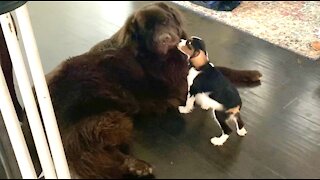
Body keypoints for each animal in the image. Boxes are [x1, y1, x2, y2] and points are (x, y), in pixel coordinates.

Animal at [22, 1, 262, 179]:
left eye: (165, 21)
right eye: (147, 30)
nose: (165, 39)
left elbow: (217, 67)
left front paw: (250, 73)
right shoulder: (181, 84)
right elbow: (217, 72)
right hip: (107, 118)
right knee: (87, 154)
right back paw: (137, 166)